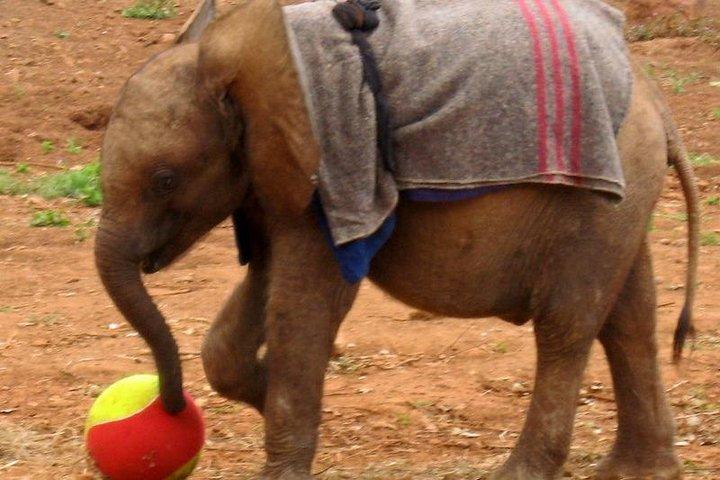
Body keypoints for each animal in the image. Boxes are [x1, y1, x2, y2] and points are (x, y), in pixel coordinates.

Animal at [94, 0, 700, 478]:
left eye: (164, 179)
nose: (167, 409)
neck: (240, 53)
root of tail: (656, 99)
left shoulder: (334, 168)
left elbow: (303, 306)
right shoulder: (275, 175)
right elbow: (258, 291)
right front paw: (265, 396)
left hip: (600, 194)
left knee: (566, 324)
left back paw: (524, 472)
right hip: (625, 194)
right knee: (628, 316)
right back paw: (638, 472)